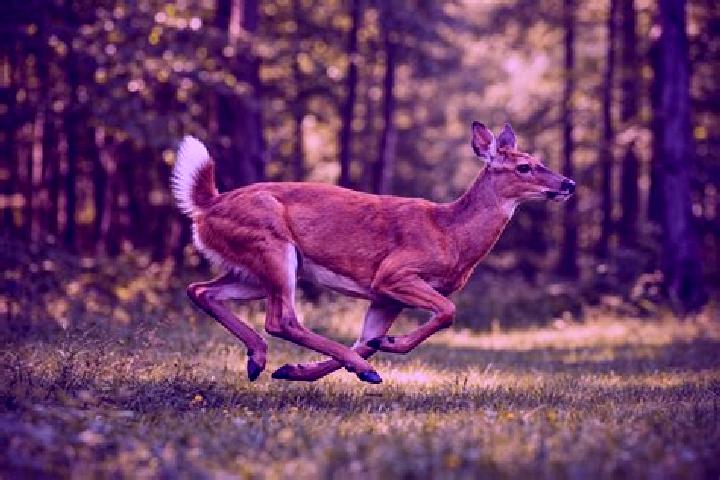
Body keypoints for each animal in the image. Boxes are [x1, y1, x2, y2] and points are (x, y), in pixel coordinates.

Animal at [171, 122, 575, 384]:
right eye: (525, 166)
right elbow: (447, 311)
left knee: (200, 290)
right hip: (272, 246)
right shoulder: (394, 274)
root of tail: (207, 205)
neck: (451, 235)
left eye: (539, 160)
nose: (568, 183)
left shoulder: (385, 298)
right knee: (281, 319)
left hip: (253, 270)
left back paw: (260, 360)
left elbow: (368, 341)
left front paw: (299, 372)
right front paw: (385, 349)